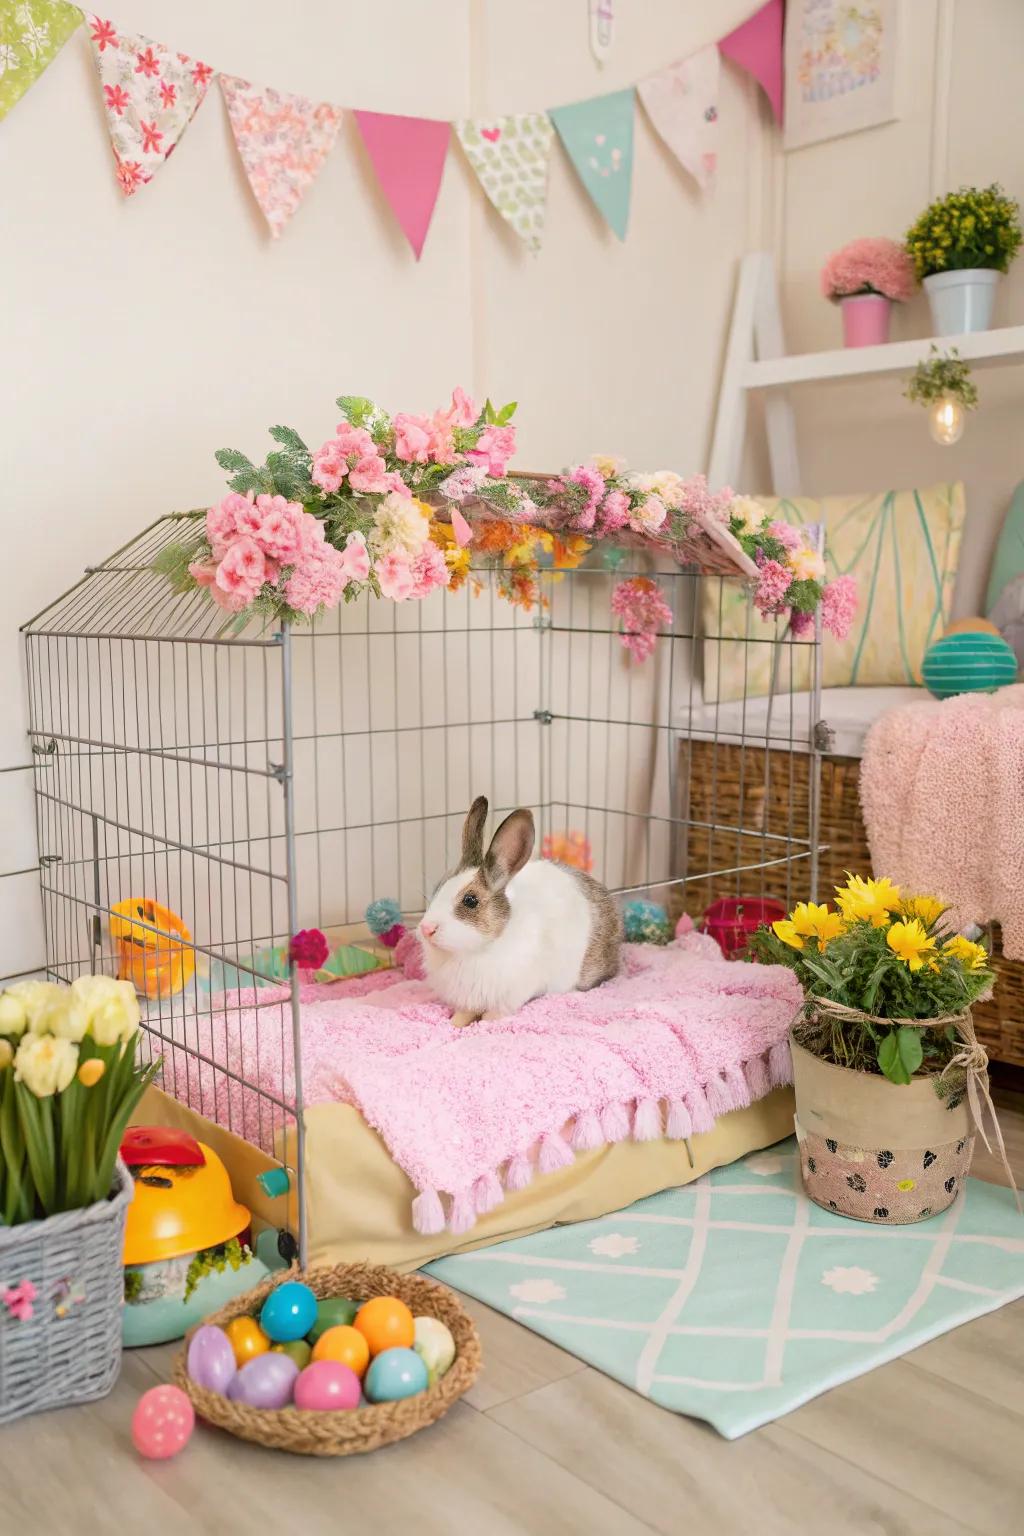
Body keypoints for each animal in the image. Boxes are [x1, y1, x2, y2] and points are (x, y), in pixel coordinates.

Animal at [418, 795, 622, 1026]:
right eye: (439, 887)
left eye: (470, 900)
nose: (426, 929)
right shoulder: (468, 1000)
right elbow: (464, 1014)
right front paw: (455, 1024)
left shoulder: (512, 994)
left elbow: (493, 1015)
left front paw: (484, 1023)